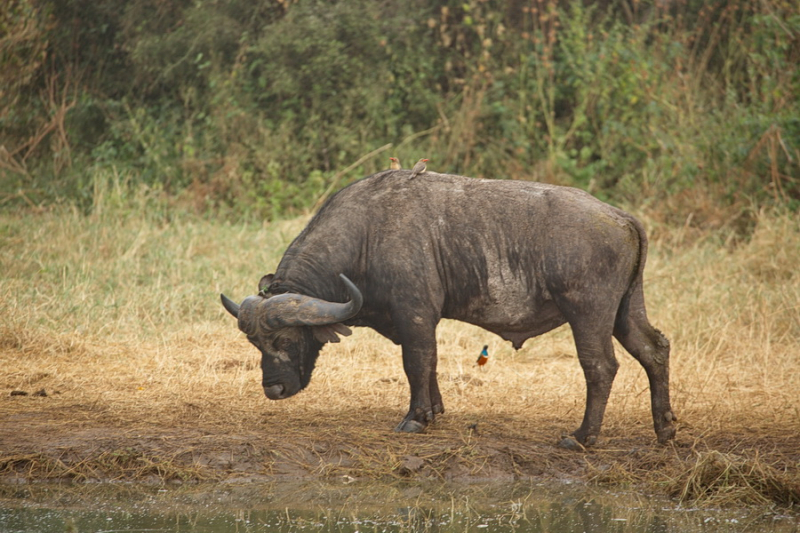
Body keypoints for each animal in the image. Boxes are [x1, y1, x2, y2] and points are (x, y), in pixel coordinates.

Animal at [222, 170, 680, 444]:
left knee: (600, 366)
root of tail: (621, 217)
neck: (366, 234)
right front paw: (435, 412)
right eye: (255, 345)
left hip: (588, 314)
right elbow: (431, 363)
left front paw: (415, 418)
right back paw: (665, 428)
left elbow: (416, 362)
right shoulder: (419, 321)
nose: (273, 389)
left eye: (285, 339)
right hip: (625, 311)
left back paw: (583, 436)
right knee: (655, 349)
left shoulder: (414, 313)